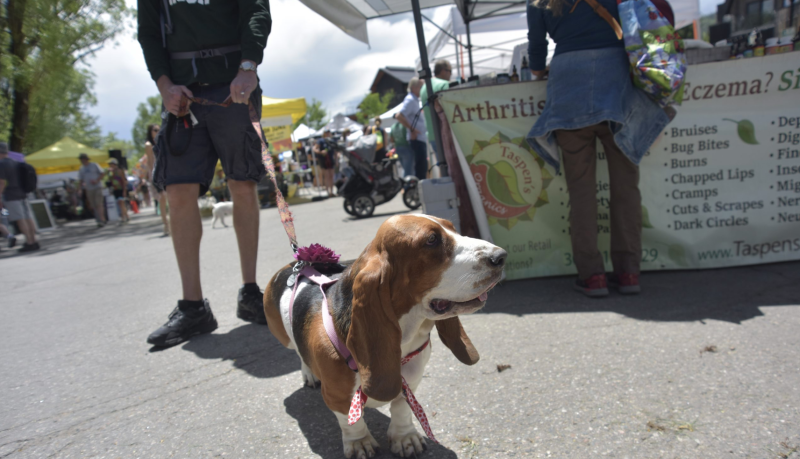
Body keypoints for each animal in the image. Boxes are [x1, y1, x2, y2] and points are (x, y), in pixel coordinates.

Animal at [264, 214, 506, 458]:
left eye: (453, 228)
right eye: (431, 240)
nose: (501, 256)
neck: (406, 340)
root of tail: (295, 265)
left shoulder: (411, 382)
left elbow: (401, 409)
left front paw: (405, 437)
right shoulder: (337, 396)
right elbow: (352, 423)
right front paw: (359, 443)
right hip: (282, 335)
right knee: (297, 351)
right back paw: (309, 373)